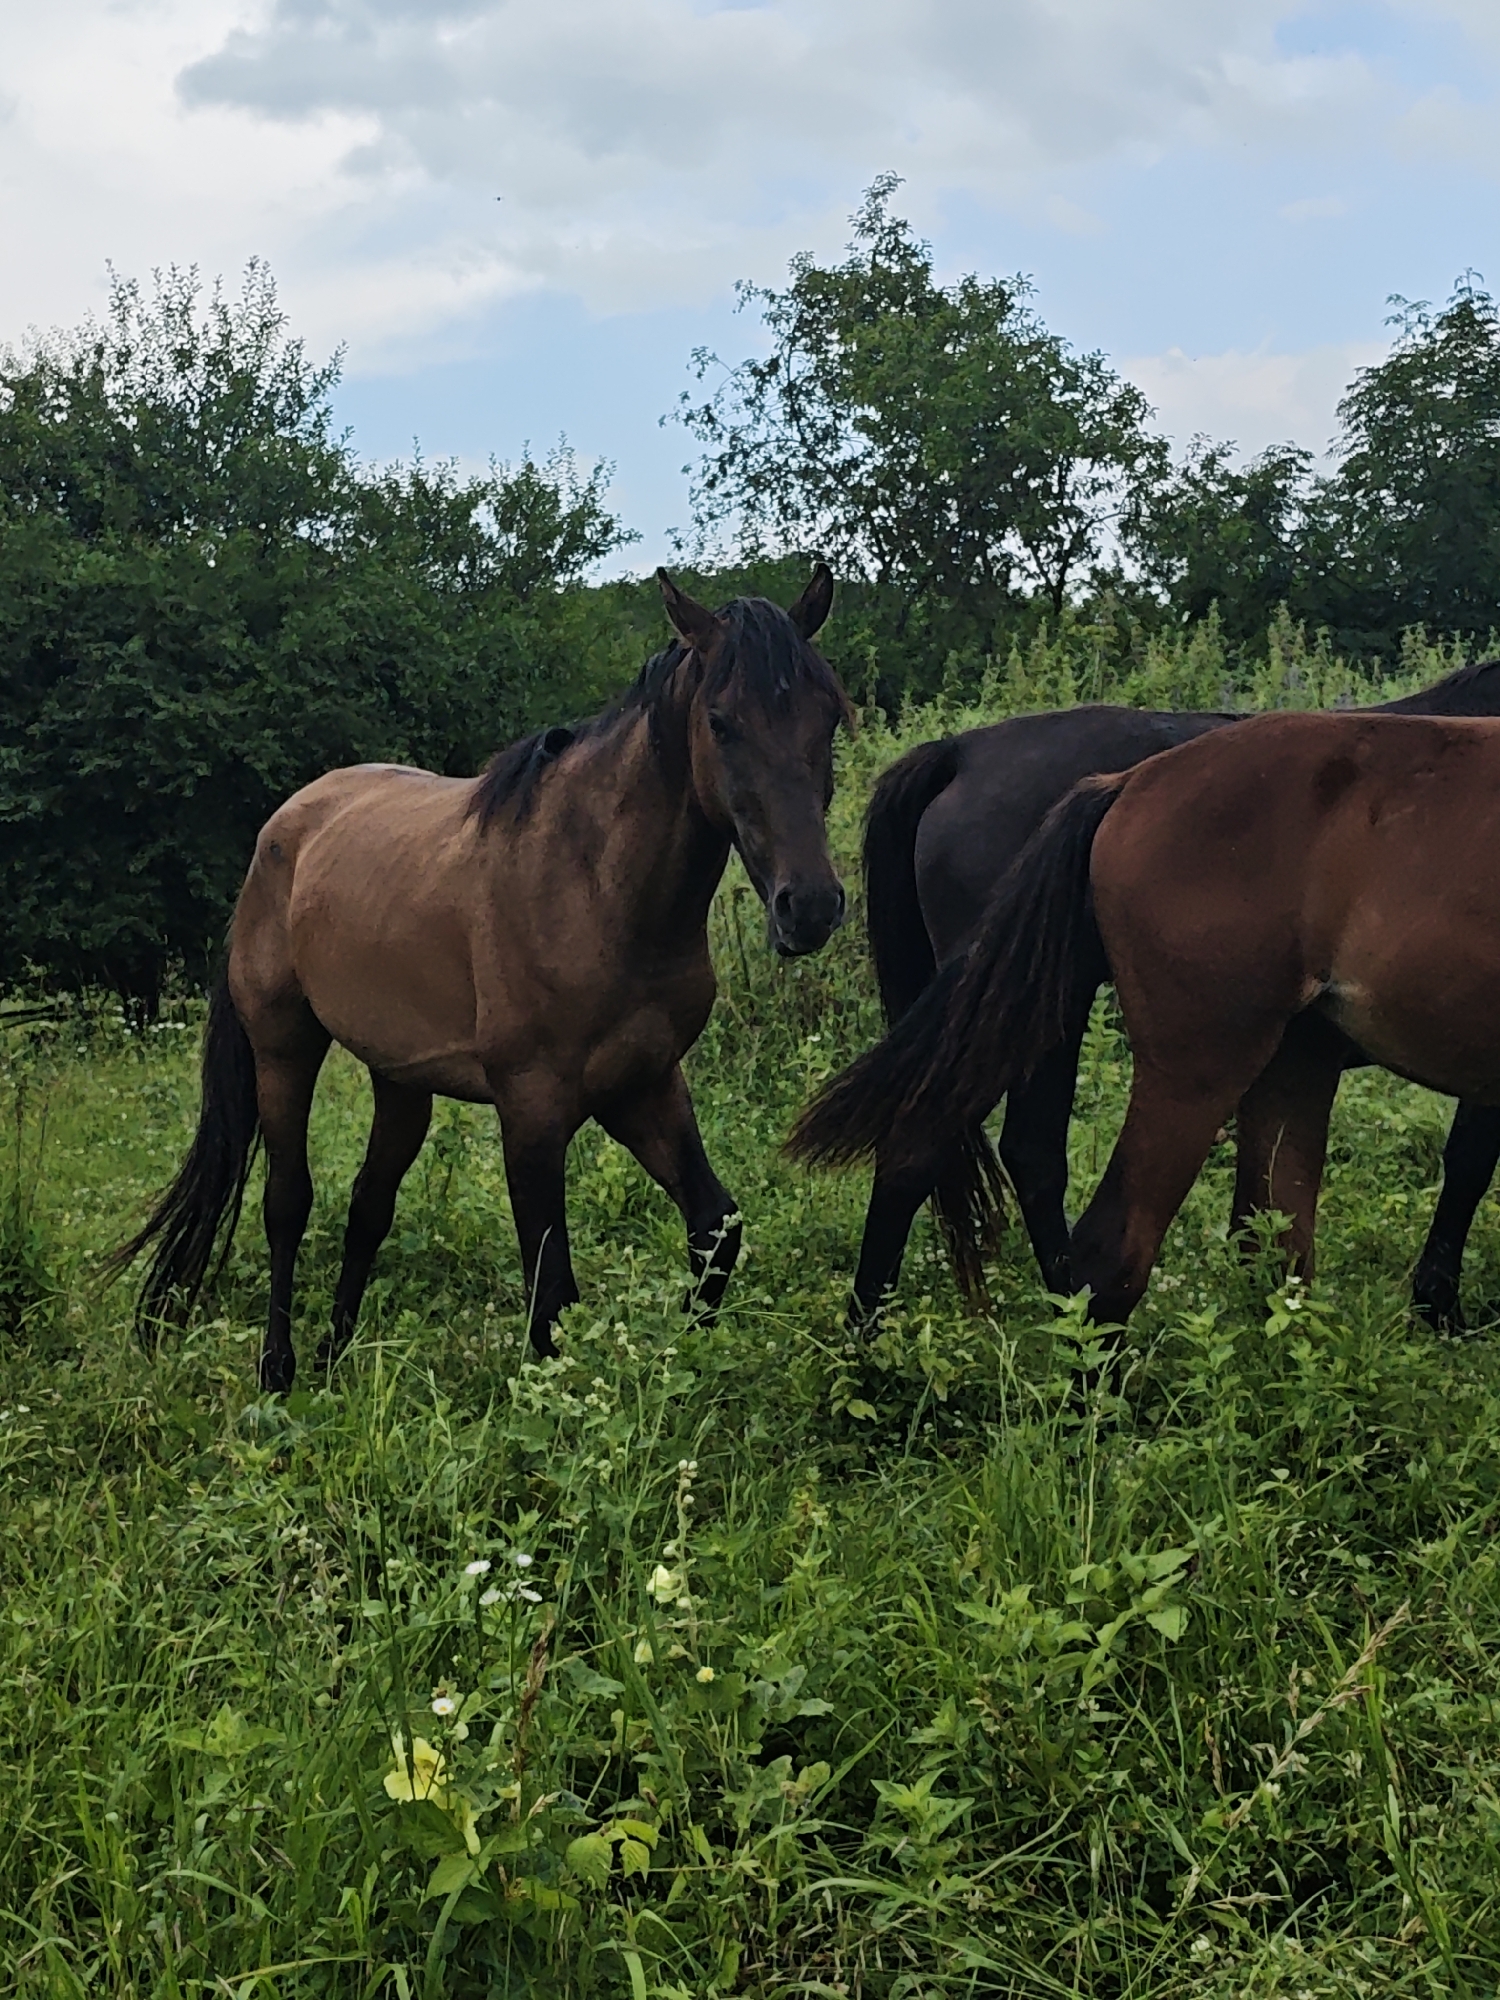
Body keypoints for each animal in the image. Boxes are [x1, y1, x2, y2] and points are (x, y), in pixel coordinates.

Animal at [116, 569, 852, 1391]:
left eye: (828, 716)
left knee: (368, 1207)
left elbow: (714, 1228)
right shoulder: (532, 1107)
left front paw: (682, 1369)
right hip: (284, 1050)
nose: (809, 906)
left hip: (400, 1081)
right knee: (287, 1202)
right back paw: (280, 1369)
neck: (595, 886)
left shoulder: (643, 1084)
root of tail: (282, 829)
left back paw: (338, 1358)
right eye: (720, 722)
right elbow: (551, 1290)